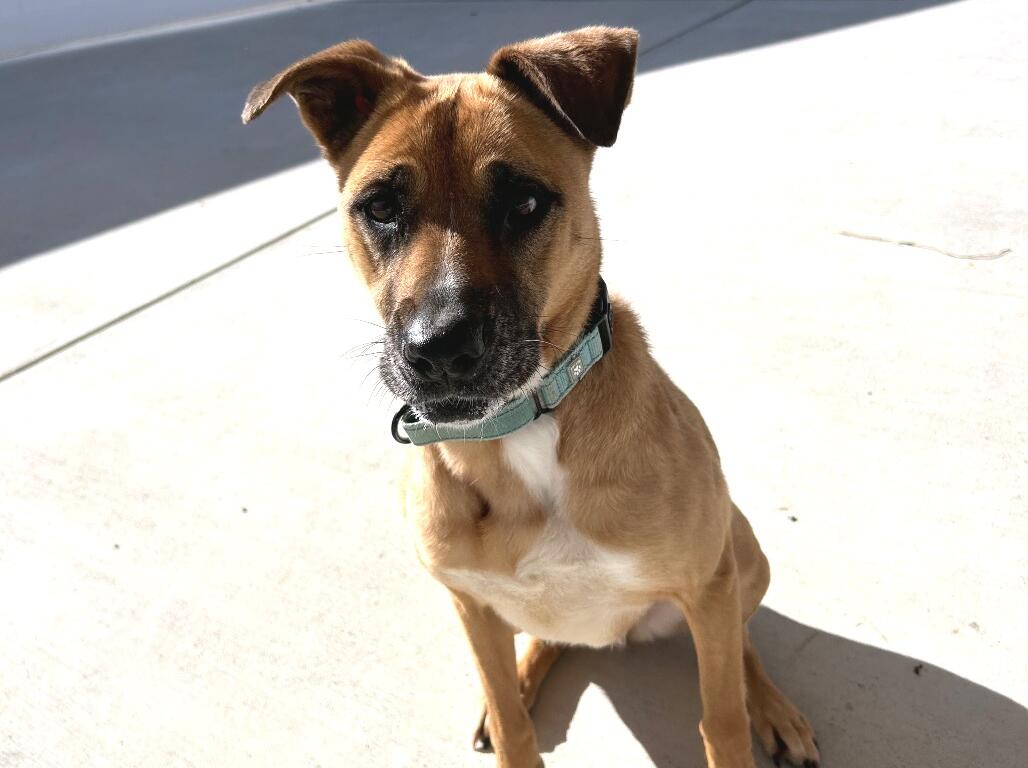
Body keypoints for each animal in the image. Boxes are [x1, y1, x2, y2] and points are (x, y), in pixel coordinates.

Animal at [243, 26, 820, 768]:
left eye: (524, 203)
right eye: (380, 209)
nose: (440, 349)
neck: (523, 430)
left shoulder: (706, 582)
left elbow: (720, 719)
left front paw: (745, 718)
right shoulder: (468, 604)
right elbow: (516, 727)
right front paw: (505, 707)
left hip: (741, 554)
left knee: (741, 644)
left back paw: (773, 709)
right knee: (543, 642)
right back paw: (512, 687)